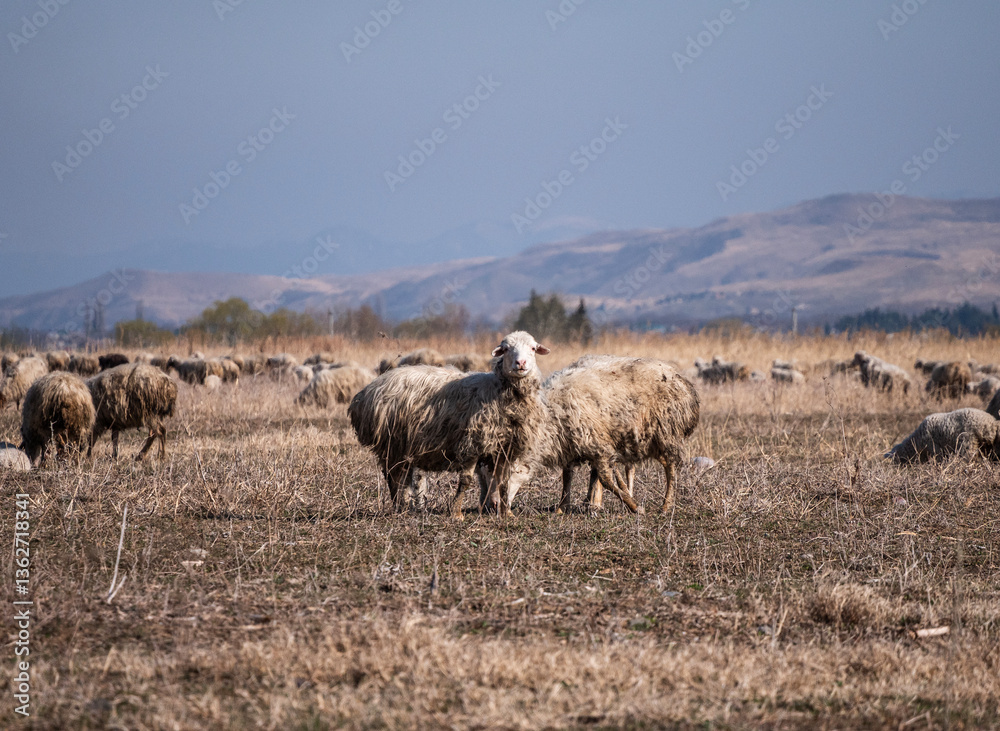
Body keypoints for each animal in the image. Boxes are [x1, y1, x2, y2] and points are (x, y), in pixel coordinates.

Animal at [349, 331, 549, 517]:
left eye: (533, 348)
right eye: (506, 349)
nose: (521, 363)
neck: (497, 389)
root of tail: (363, 395)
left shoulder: (506, 448)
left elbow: (504, 482)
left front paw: (507, 513)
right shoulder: (472, 442)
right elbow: (466, 480)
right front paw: (456, 513)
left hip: (403, 445)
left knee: (401, 476)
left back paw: (404, 506)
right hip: (391, 442)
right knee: (393, 476)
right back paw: (399, 507)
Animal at [484, 355, 699, 515]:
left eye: (510, 474)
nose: (496, 506)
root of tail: (685, 383)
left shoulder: (597, 444)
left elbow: (606, 479)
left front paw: (635, 507)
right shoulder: (571, 444)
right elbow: (568, 476)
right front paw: (562, 507)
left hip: (666, 432)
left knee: (670, 467)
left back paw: (666, 505)